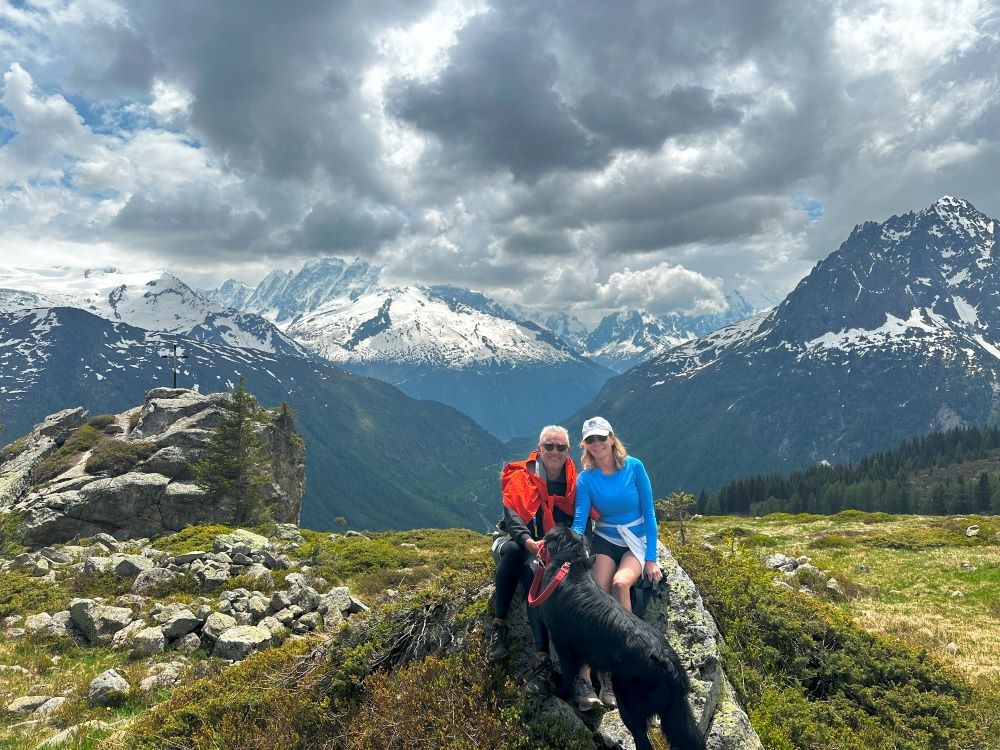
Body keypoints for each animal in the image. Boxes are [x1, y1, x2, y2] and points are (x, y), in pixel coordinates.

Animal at [536, 528, 708, 750]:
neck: (570, 564)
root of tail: (670, 665)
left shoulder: (564, 644)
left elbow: (568, 674)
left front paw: (561, 692)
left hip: (629, 703)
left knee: (643, 742)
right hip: (675, 714)